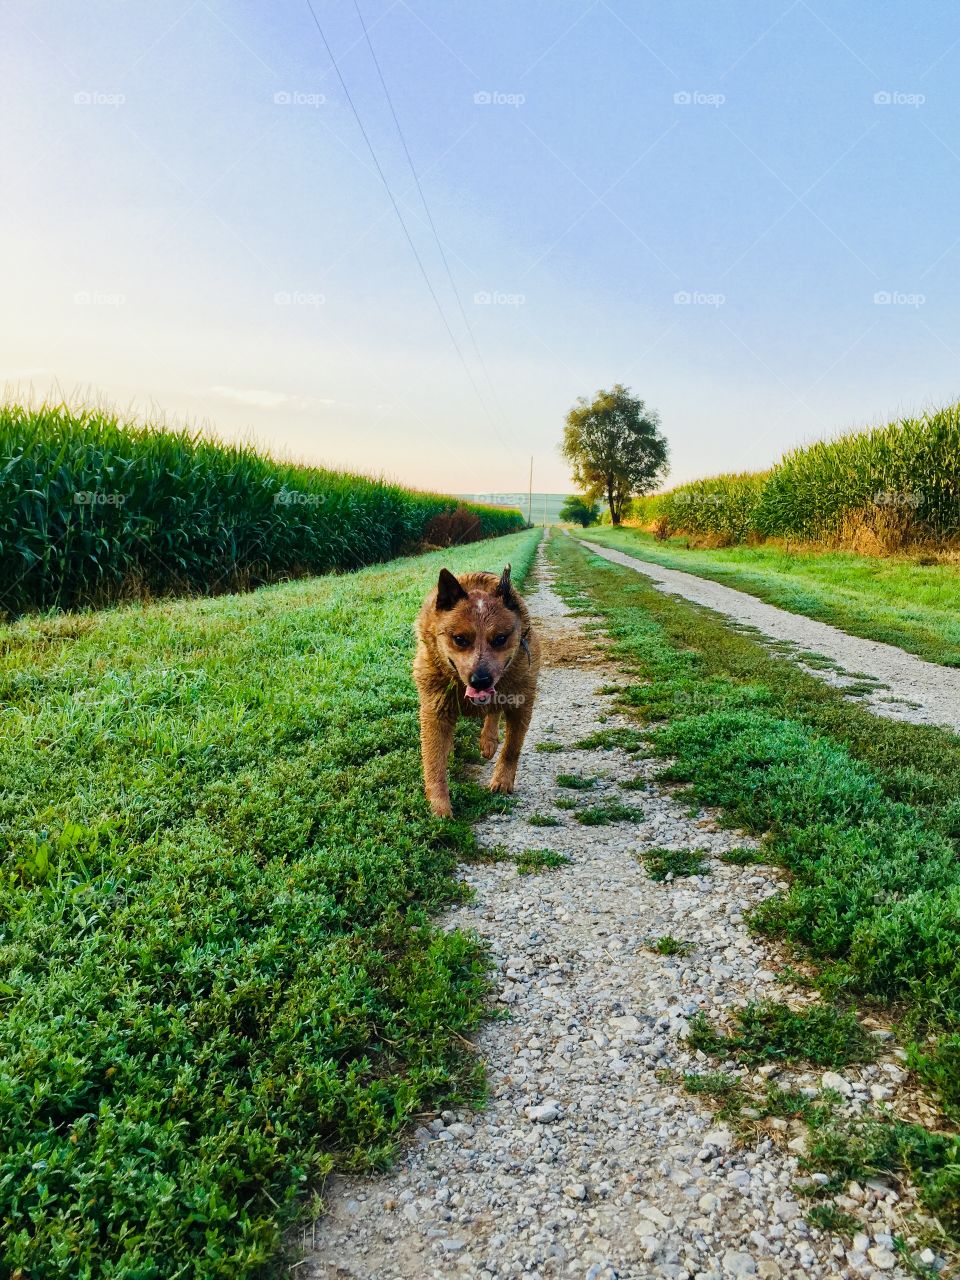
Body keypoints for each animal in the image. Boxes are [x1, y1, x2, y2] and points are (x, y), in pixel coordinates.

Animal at [414, 563, 542, 819]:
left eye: (500, 638)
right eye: (459, 639)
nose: (480, 680)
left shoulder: (522, 703)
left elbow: (512, 747)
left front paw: (502, 781)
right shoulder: (434, 709)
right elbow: (434, 761)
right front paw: (439, 807)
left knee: (494, 713)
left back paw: (488, 741)